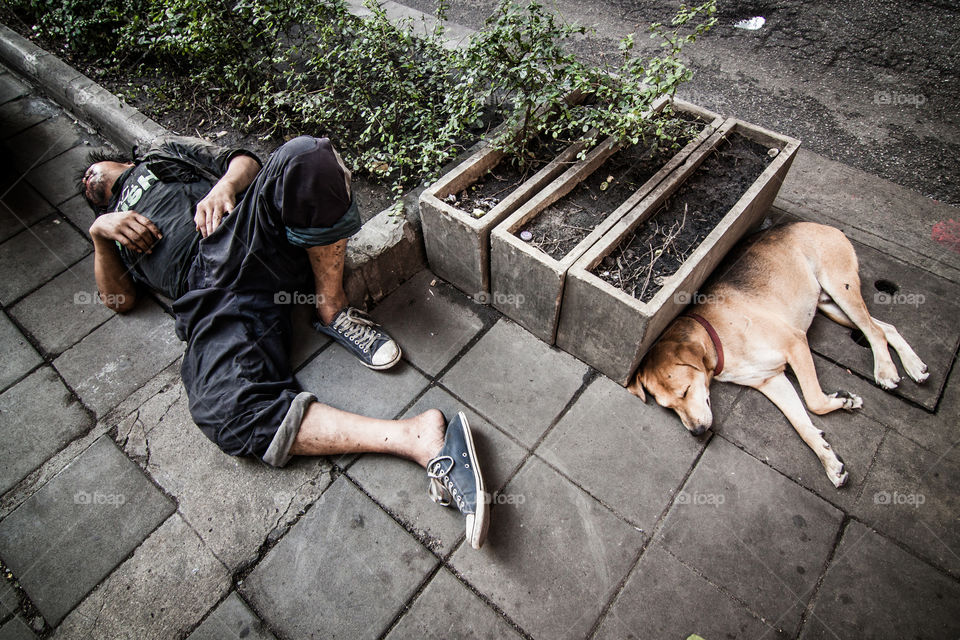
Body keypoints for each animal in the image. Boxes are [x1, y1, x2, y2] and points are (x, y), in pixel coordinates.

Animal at [632, 222, 928, 488]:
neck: (717, 337)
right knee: (885, 328)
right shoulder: (771, 380)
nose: (697, 432)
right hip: (830, 305)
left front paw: (841, 400)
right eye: (669, 407)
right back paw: (914, 366)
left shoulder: (796, 344)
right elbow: (803, 425)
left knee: (874, 331)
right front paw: (829, 460)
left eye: (685, 392)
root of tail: (819, 225)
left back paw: (886, 371)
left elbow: (814, 401)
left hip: (839, 285)